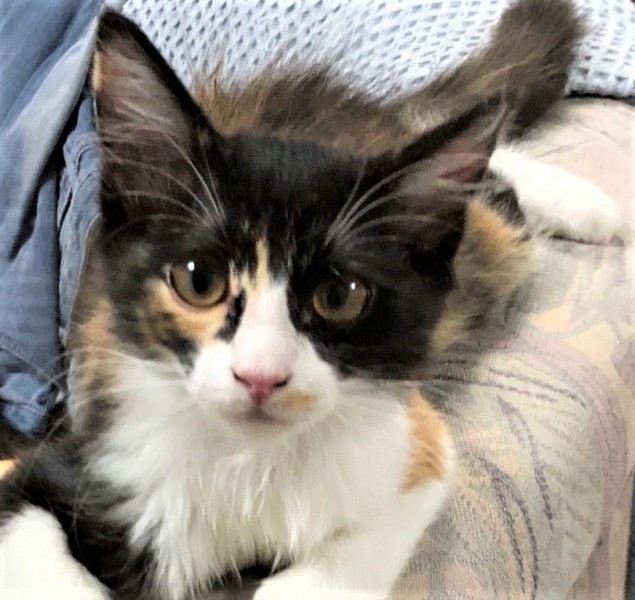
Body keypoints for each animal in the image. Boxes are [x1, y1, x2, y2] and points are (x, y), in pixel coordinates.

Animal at [0, 1, 623, 599]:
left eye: (340, 296)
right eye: (199, 281)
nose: (260, 377)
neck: (247, 465)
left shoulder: (414, 448)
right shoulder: (68, 471)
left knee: (494, 191)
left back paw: (592, 208)